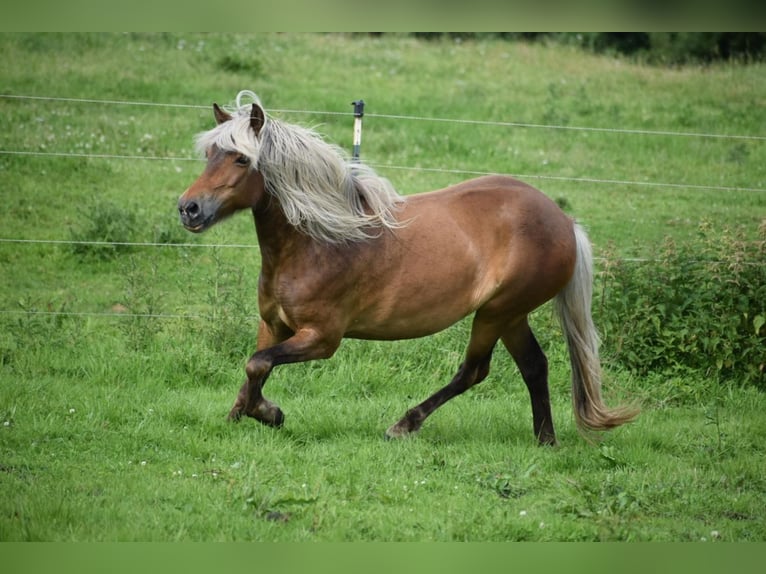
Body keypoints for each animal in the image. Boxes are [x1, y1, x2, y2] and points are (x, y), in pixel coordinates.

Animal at [177, 91, 640, 450]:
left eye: (241, 159)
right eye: (210, 153)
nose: (189, 208)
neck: (318, 241)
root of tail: (564, 221)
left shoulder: (322, 338)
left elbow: (257, 365)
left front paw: (271, 414)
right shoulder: (273, 325)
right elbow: (253, 368)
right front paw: (241, 416)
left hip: (498, 312)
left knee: (475, 371)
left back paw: (404, 425)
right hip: (511, 315)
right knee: (534, 366)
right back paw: (545, 441)